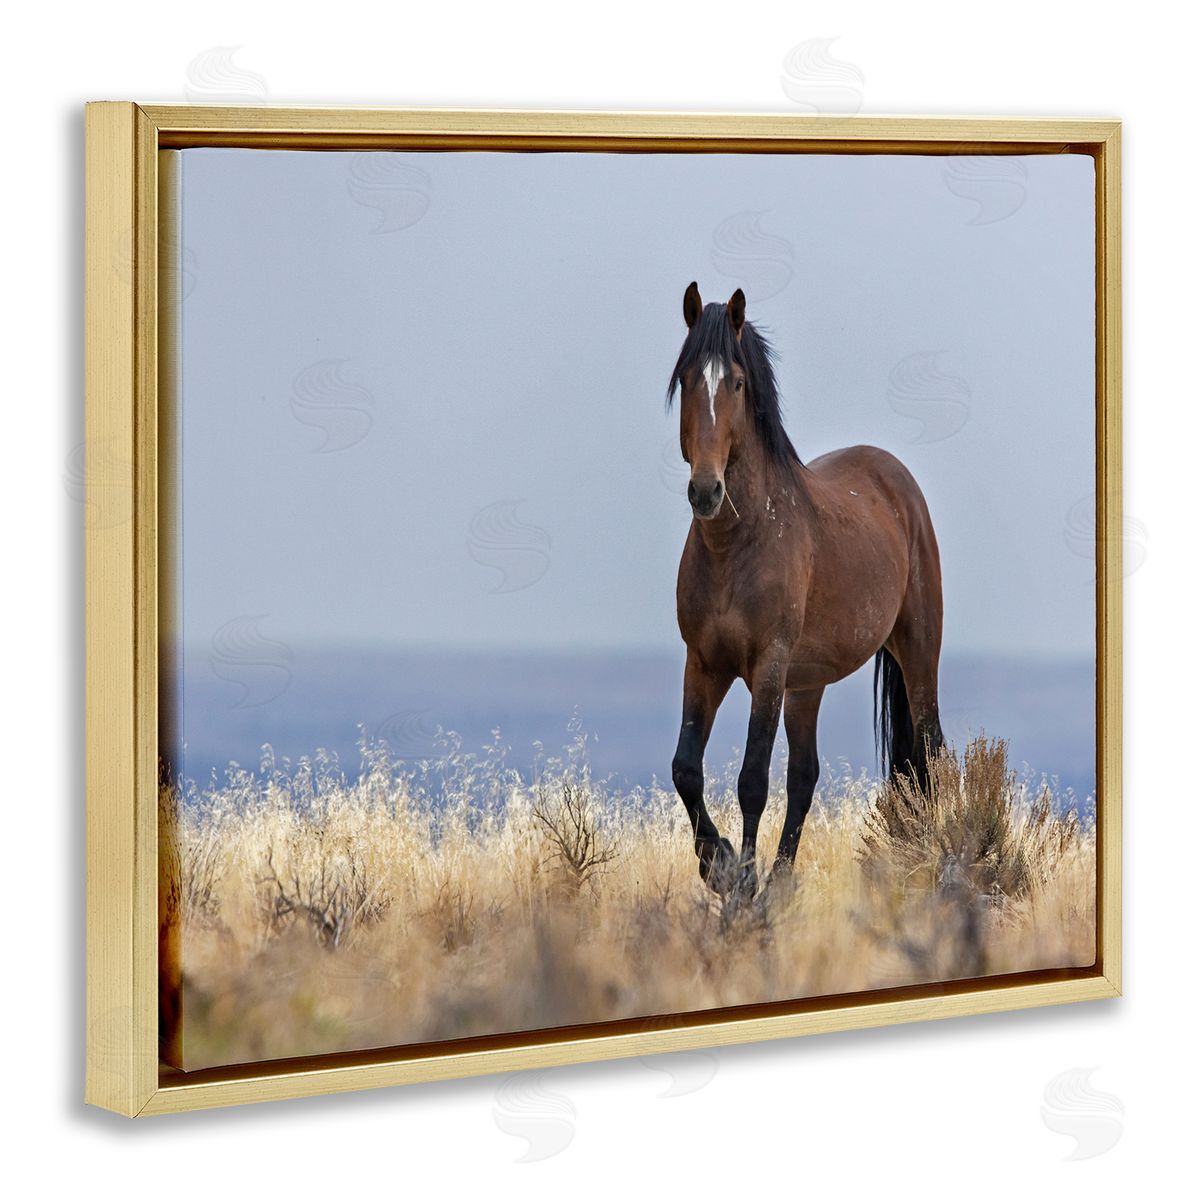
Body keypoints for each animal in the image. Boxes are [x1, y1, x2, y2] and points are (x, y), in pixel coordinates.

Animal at [667, 282, 945, 897]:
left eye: (736, 382)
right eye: (688, 378)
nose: (706, 491)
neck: (737, 544)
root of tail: (899, 481)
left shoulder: (767, 667)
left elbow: (751, 779)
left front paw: (742, 885)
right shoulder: (703, 663)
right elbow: (685, 769)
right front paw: (720, 863)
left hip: (917, 653)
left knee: (931, 752)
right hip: (806, 685)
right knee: (804, 776)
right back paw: (782, 880)